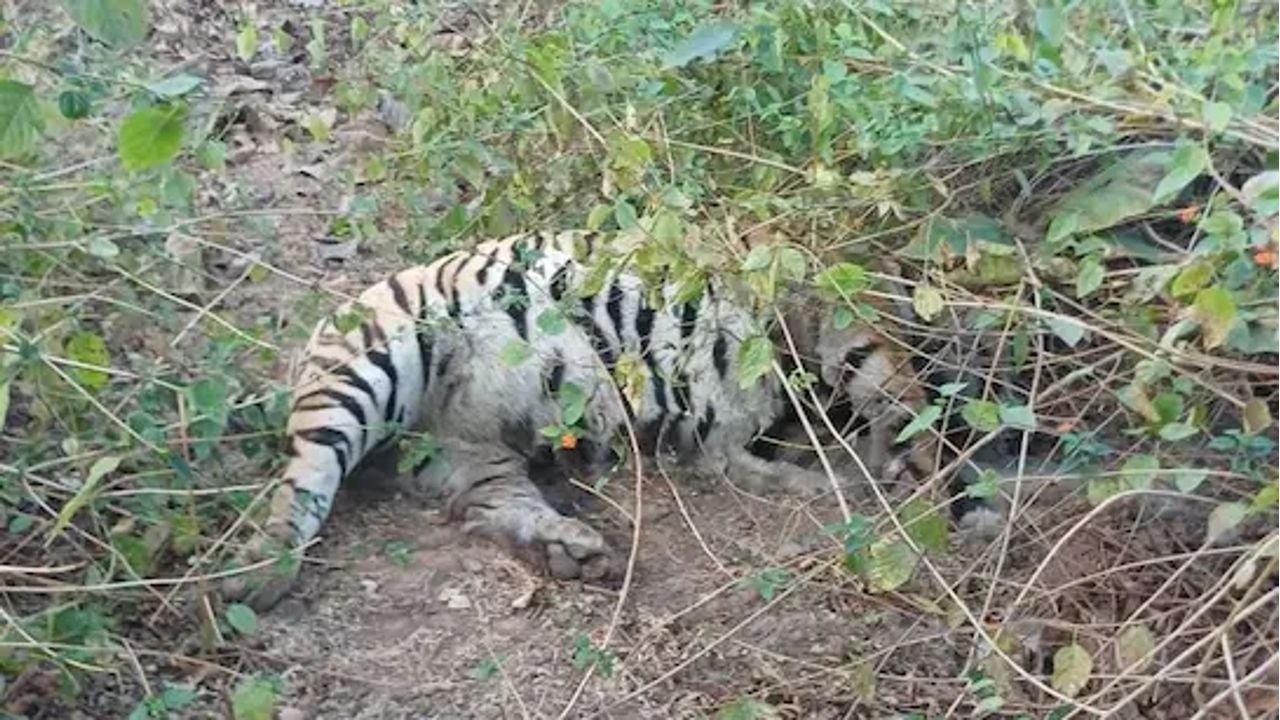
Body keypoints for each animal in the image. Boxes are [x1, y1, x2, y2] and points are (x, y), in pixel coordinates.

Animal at [220, 229, 933, 611]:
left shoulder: (724, 434)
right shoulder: (835, 337)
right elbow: (888, 398)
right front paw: (900, 464)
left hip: (474, 451)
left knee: (482, 505)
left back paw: (571, 551)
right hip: (369, 370)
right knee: (302, 482)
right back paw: (250, 579)